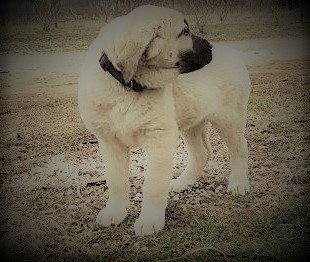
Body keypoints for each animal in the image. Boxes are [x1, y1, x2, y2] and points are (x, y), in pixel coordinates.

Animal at [78, 5, 251, 236]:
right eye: (184, 32)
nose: (212, 47)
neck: (128, 86)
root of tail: (234, 53)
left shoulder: (159, 140)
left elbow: (153, 186)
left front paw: (150, 220)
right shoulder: (109, 141)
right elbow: (116, 181)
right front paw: (115, 211)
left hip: (229, 119)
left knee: (240, 149)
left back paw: (239, 183)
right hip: (191, 121)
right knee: (202, 153)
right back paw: (183, 182)